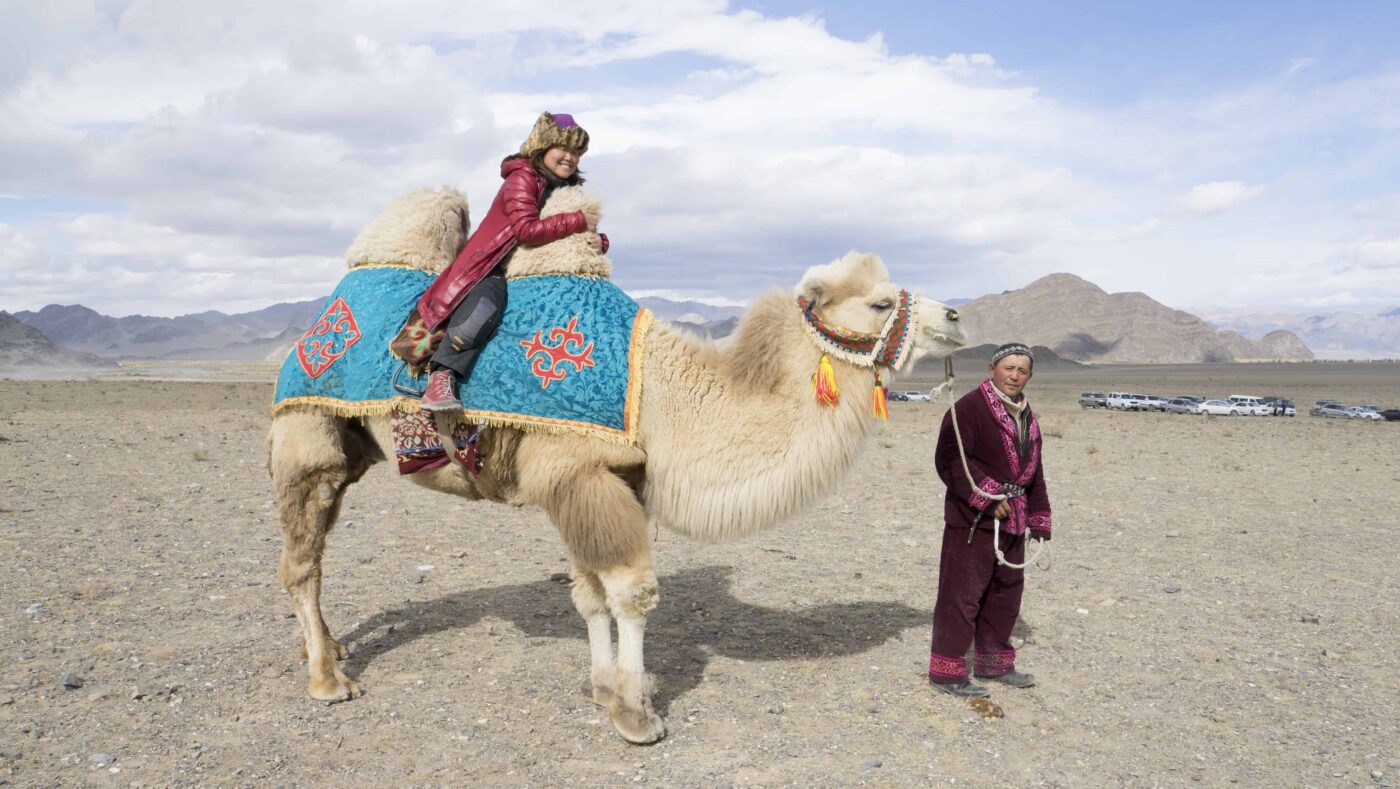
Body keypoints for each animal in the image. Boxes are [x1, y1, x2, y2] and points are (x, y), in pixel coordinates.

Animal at [267, 185, 967, 744]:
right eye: (880, 303)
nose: (956, 317)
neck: (659, 397)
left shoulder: (595, 481)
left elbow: (591, 594)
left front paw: (603, 689)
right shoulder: (582, 474)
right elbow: (631, 593)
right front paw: (636, 714)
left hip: (350, 451)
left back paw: (327, 647)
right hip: (307, 437)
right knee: (301, 563)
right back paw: (328, 679)